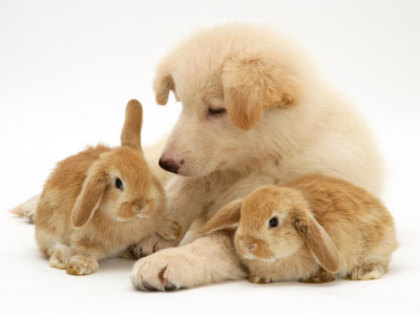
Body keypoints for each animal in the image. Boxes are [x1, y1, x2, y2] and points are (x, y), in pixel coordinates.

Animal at [34, 99, 180, 276]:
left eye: (149, 174)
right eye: (118, 183)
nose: (141, 205)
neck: (128, 222)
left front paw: (173, 229)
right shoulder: (85, 237)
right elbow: (84, 250)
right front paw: (80, 266)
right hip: (47, 229)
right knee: (53, 247)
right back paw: (62, 258)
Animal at [200, 174, 398, 286]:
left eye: (273, 222)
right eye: (242, 216)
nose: (246, 245)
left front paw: (317, 278)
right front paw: (258, 279)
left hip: (377, 247)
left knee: (379, 263)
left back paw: (362, 273)